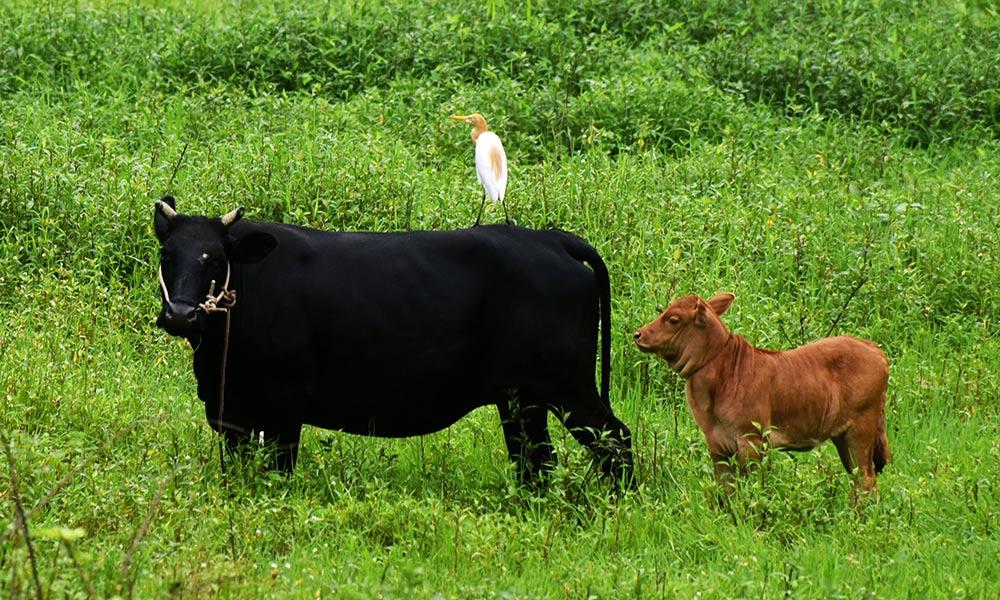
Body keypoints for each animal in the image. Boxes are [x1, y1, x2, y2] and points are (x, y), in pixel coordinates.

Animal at [152, 199, 628, 486]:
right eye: (166, 255)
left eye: (216, 259)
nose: (180, 315)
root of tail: (550, 238)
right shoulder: (231, 409)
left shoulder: (285, 405)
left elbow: (279, 470)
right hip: (522, 398)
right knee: (535, 460)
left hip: (570, 388)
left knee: (615, 441)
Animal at [632, 292, 892, 494]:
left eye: (673, 319)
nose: (638, 334)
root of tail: (876, 350)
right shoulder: (716, 443)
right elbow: (726, 488)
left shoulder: (751, 439)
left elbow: (751, 487)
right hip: (842, 435)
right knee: (857, 477)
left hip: (861, 428)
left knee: (866, 479)